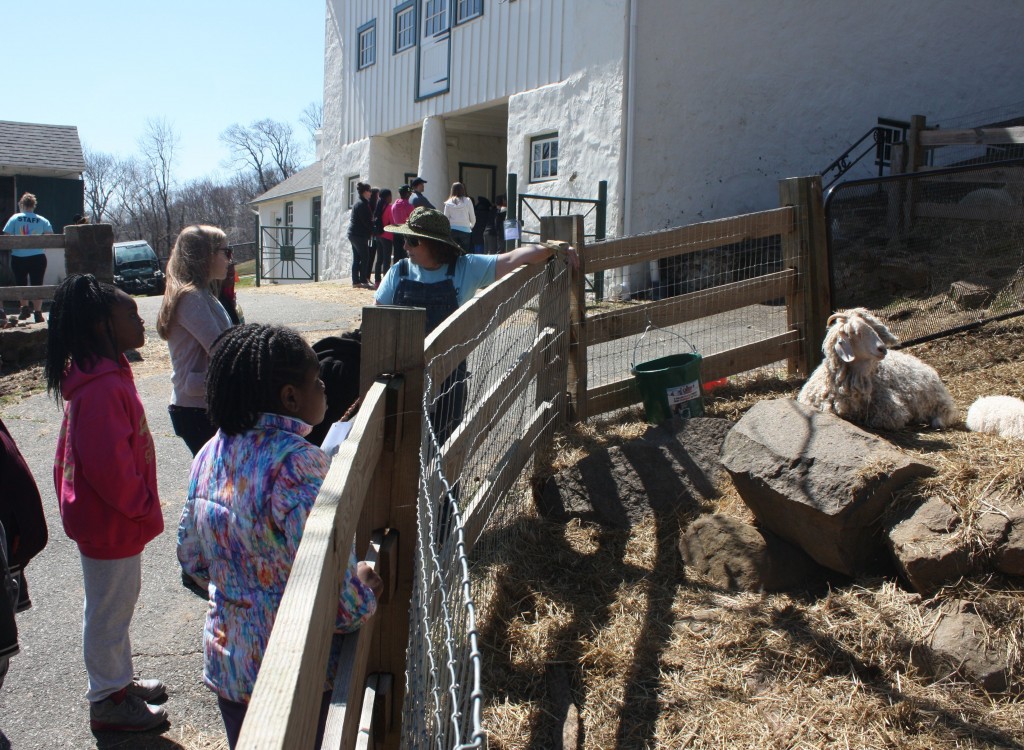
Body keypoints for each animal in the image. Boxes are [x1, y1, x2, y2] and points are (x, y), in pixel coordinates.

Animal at [794, 307, 954, 430]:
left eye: (873, 329)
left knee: (944, 412)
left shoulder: (891, 412)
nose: (882, 349)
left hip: (936, 399)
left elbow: (880, 419)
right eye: (856, 333)